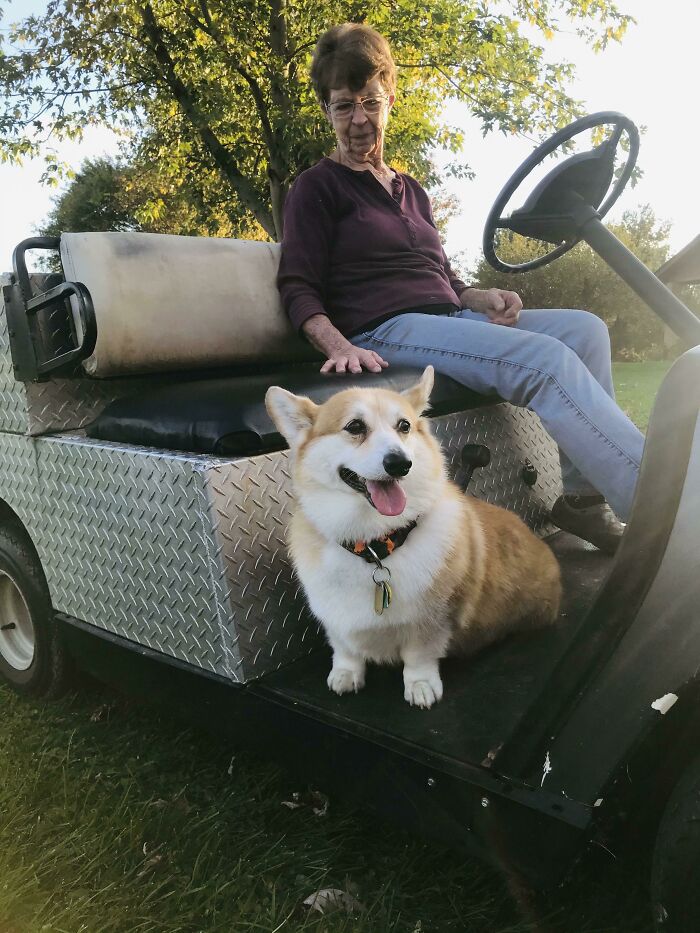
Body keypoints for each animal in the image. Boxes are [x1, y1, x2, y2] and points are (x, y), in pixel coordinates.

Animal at [266, 364, 560, 708]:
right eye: (355, 426)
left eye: (404, 425)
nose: (400, 463)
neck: (375, 544)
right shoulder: (334, 619)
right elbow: (345, 649)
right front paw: (346, 674)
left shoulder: (431, 622)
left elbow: (419, 657)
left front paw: (420, 687)